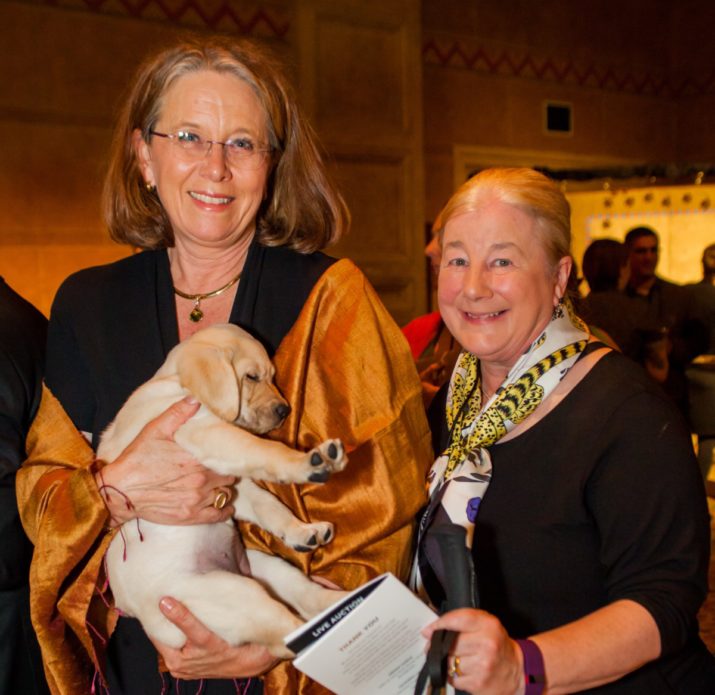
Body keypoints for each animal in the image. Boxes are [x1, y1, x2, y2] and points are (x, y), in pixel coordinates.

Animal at [98, 324, 350, 656]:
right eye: (252, 377)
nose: (285, 410)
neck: (177, 384)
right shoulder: (207, 434)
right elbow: (266, 451)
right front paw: (306, 462)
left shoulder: (233, 486)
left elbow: (270, 507)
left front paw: (299, 530)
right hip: (231, 593)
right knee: (283, 637)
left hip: (267, 567)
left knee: (304, 594)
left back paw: (341, 601)